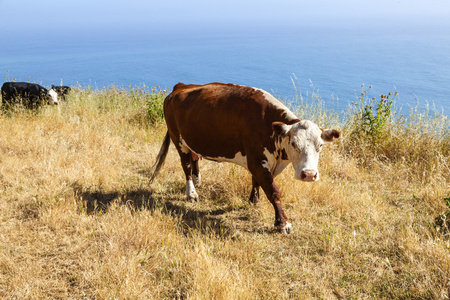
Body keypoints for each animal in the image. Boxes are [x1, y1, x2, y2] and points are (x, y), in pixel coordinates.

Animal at [149, 82, 340, 234]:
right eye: (293, 143)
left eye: (320, 146)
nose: (309, 174)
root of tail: (180, 87)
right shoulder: (257, 161)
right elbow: (274, 191)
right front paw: (283, 223)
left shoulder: (264, 163)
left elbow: (257, 182)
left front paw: (253, 201)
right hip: (178, 139)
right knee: (186, 165)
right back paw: (191, 193)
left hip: (191, 140)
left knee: (194, 159)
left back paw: (197, 181)